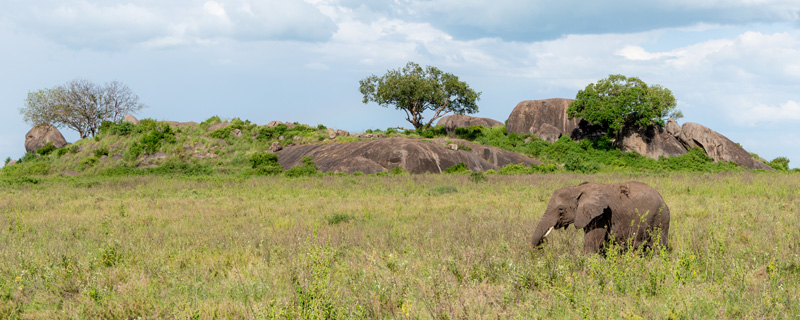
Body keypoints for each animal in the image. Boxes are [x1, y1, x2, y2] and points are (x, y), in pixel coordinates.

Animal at [532, 181, 668, 254]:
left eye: (560, 209)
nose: (543, 241)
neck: (579, 188)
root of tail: (662, 198)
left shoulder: (602, 215)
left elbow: (591, 246)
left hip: (660, 220)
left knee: (659, 247)